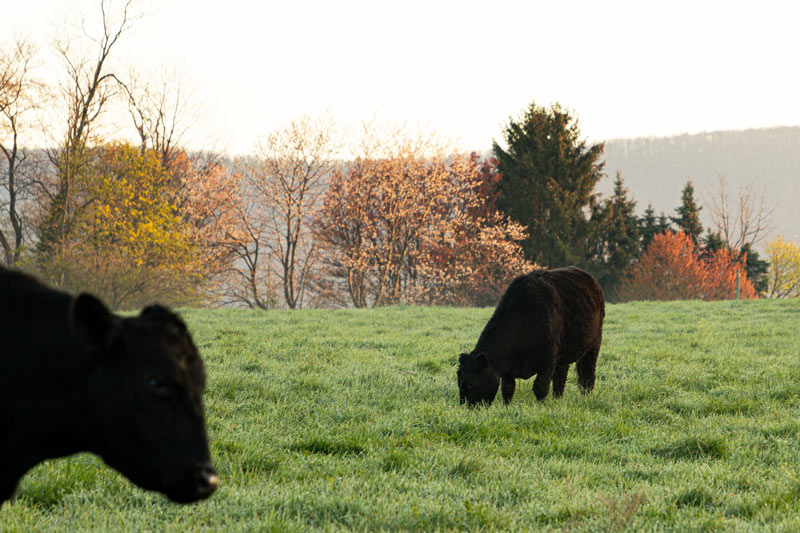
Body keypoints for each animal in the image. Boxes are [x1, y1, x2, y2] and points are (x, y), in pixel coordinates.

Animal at [457, 266, 604, 407]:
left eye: (470, 383)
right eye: (459, 382)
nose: (466, 407)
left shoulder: (548, 357)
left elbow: (540, 386)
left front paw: (540, 406)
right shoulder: (507, 366)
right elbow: (508, 388)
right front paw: (506, 406)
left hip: (594, 344)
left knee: (587, 374)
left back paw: (586, 397)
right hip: (564, 353)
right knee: (560, 377)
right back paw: (557, 399)